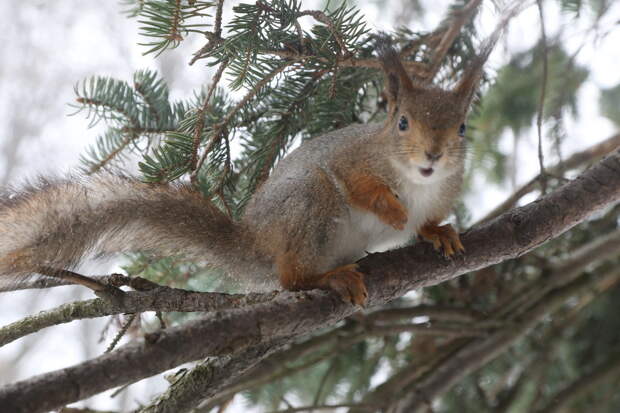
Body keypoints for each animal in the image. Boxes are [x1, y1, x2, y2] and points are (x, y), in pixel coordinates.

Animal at [0, 41, 484, 306]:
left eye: (462, 126)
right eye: (402, 122)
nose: (433, 155)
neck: (418, 182)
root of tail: (258, 242)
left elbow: (428, 220)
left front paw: (437, 231)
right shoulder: (352, 158)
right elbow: (361, 186)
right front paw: (393, 211)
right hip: (309, 199)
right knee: (291, 279)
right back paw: (328, 277)